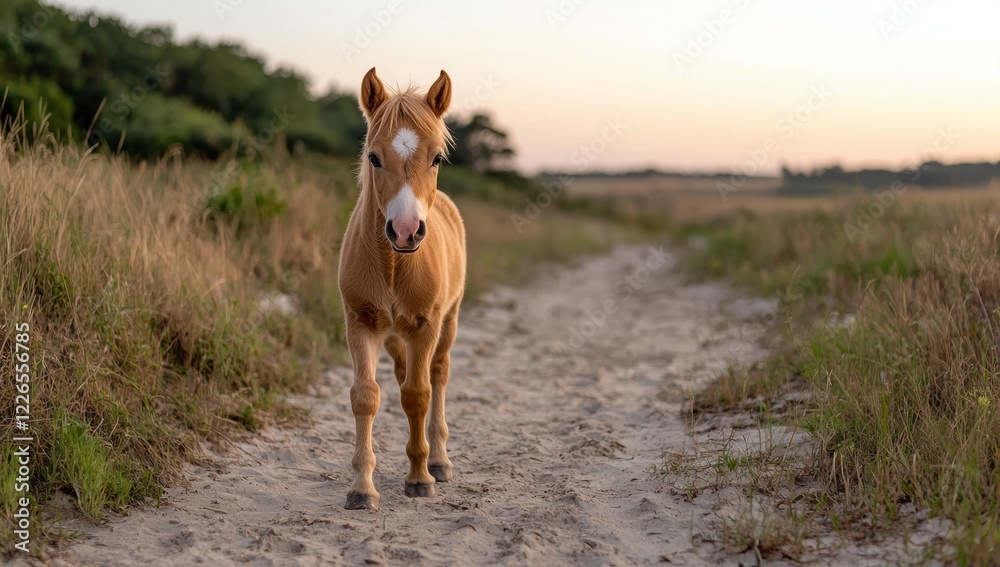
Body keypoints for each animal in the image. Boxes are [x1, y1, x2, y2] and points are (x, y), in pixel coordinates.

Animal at [337, 68, 466, 511]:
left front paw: (420, 478)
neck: (394, 266)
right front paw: (362, 488)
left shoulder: (425, 327)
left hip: (448, 322)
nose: (406, 231)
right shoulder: (360, 324)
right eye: (373, 157)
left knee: (439, 375)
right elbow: (366, 396)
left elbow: (418, 395)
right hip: (394, 336)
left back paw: (439, 461)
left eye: (437, 158)